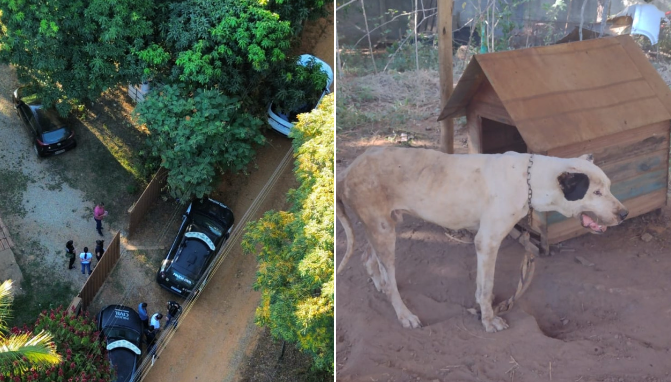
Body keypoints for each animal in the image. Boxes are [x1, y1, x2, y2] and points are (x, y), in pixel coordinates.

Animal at [338, 148, 628, 332]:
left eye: (609, 186)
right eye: (596, 192)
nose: (624, 214)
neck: (529, 180)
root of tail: (348, 170)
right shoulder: (487, 242)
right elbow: (486, 288)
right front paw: (489, 321)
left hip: (385, 226)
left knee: (369, 259)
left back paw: (380, 284)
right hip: (384, 230)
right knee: (389, 278)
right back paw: (404, 314)